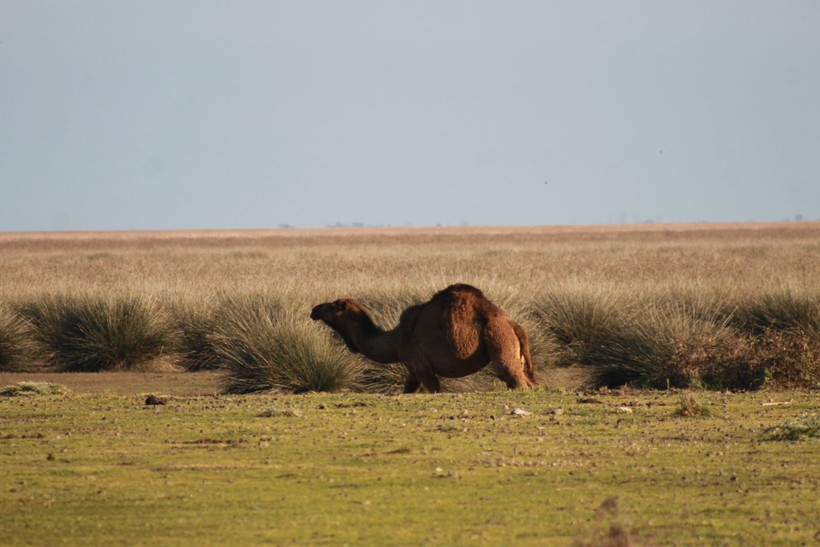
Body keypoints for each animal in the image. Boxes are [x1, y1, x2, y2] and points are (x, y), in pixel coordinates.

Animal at [310, 282, 540, 394]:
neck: (397, 340)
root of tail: (513, 324)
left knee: (513, 376)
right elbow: (407, 390)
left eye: (332, 306)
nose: (314, 310)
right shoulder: (413, 370)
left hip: (498, 339)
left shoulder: (422, 367)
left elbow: (434, 389)